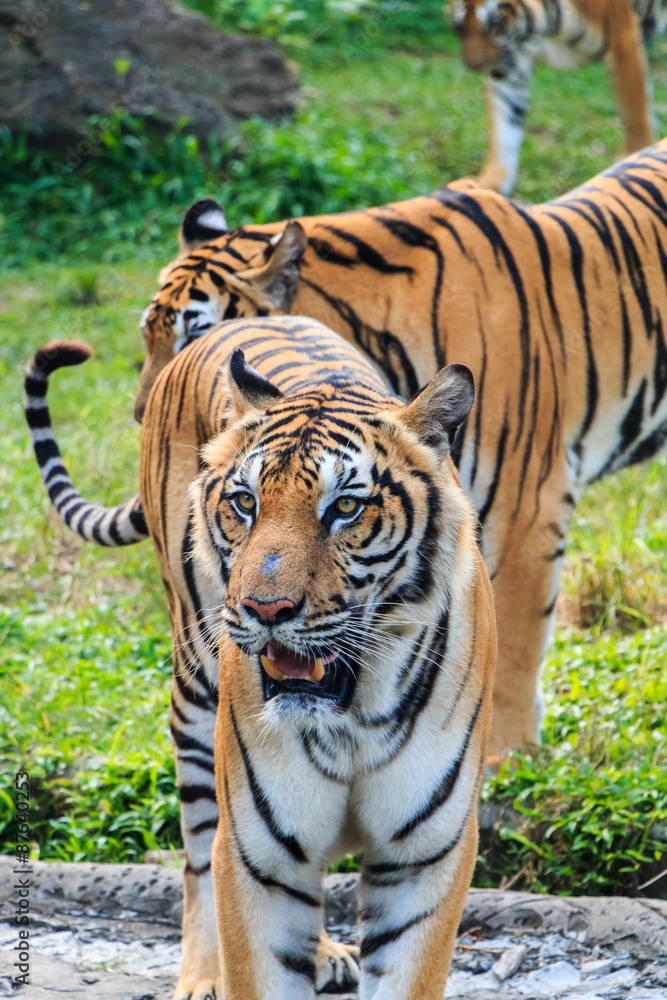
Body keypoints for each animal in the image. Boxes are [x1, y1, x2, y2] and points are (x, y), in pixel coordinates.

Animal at [25, 317, 496, 1000]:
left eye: (345, 508)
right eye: (246, 503)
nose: (263, 608)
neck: (352, 716)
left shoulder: (425, 858)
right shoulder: (258, 857)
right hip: (195, 704)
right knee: (196, 855)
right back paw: (201, 976)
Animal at [448, 0, 667, 194]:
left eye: (496, 26)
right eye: (460, 29)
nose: (476, 67)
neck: (544, 28)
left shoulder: (622, 39)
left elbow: (635, 115)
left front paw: (633, 161)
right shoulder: (512, 65)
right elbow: (504, 129)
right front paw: (488, 184)